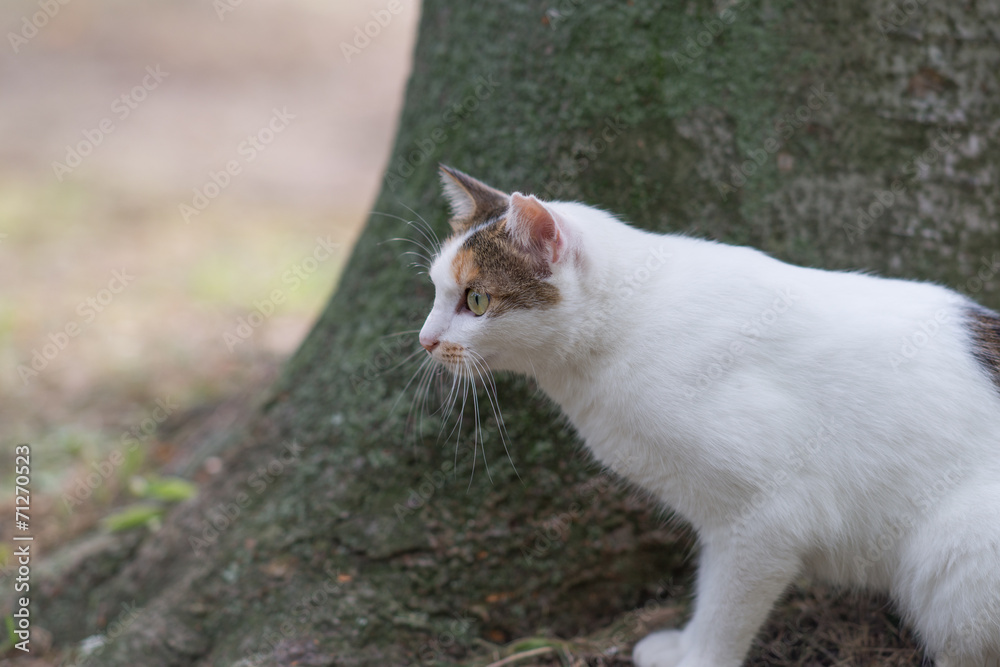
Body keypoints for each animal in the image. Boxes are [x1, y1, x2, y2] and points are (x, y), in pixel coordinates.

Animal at [414, 166, 1000, 667]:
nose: (425, 340)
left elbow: (724, 608)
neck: (630, 323)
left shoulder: (767, 519)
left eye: (477, 299)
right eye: (438, 291)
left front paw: (698, 656)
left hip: (958, 565)